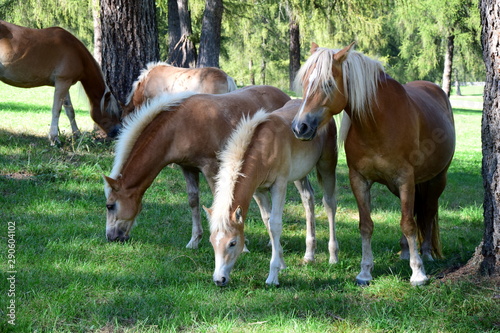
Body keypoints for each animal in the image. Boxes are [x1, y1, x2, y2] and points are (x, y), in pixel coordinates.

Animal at [104, 84, 292, 248]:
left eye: (110, 206)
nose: (111, 237)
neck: (179, 127)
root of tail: (286, 96)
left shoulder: (210, 167)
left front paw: (241, 244)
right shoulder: (187, 168)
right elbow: (193, 200)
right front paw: (195, 240)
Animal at [205, 98, 338, 286]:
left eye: (232, 243)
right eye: (212, 242)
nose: (219, 279)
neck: (264, 147)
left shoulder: (279, 185)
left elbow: (275, 224)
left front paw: (273, 275)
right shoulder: (258, 191)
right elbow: (267, 221)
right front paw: (281, 263)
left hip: (327, 165)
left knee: (329, 204)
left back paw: (333, 257)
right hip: (300, 175)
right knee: (308, 199)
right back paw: (309, 255)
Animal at [292, 42, 456, 286]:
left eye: (328, 83)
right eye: (304, 83)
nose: (299, 127)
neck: (378, 123)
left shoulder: (405, 179)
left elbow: (409, 223)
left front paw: (418, 273)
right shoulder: (360, 180)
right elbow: (366, 225)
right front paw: (365, 271)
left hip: (437, 180)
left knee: (427, 212)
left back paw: (425, 253)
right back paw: (405, 251)